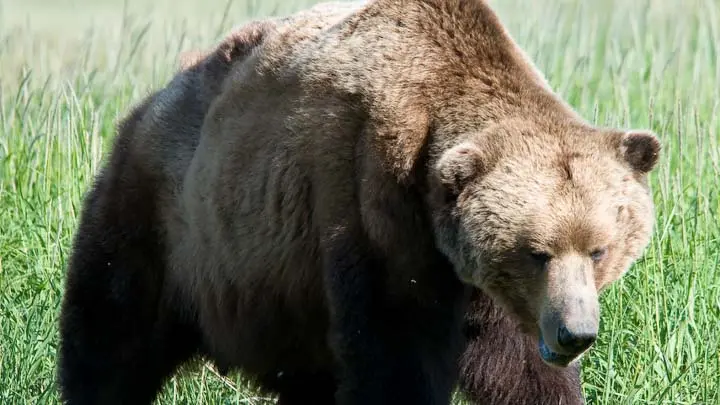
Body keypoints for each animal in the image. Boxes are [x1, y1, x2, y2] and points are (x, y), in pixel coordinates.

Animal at [56, 0, 660, 404]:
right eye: (536, 252)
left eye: (600, 249)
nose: (574, 334)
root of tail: (154, 98)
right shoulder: (373, 207)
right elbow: (396, 349)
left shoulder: (480, 283)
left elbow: (519, 367)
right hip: (167, 219)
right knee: (112, 331)